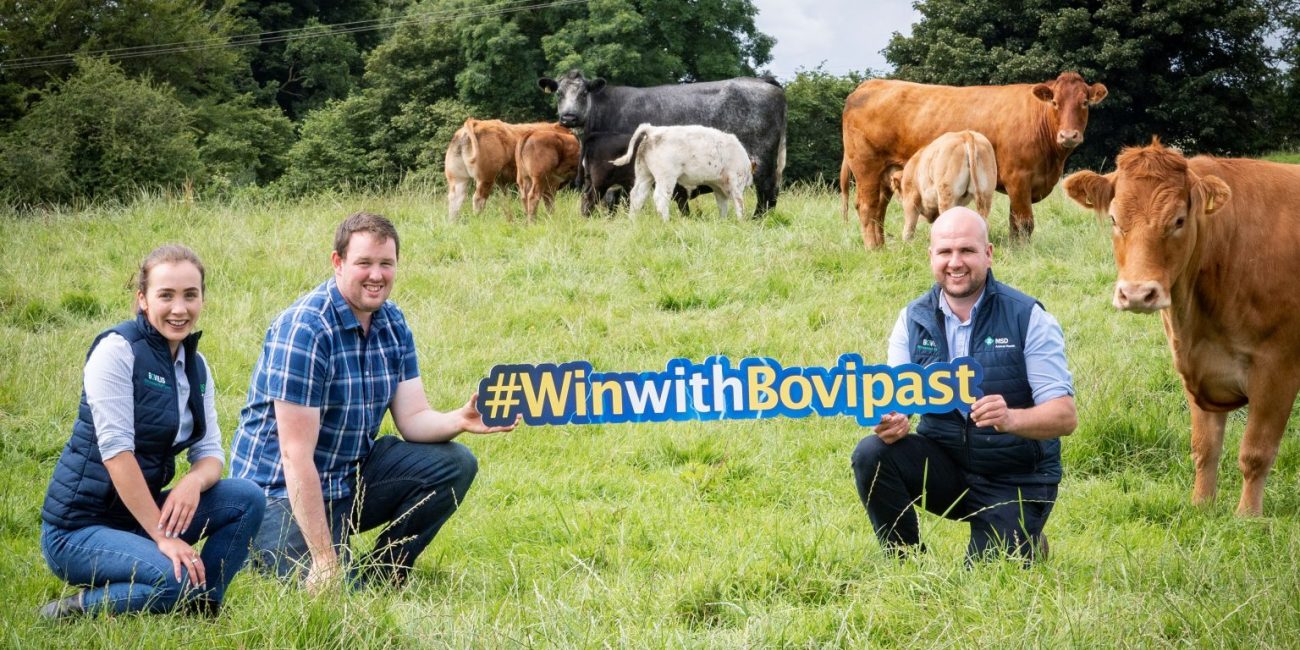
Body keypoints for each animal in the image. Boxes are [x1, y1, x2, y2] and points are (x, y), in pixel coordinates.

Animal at [444, 120, 572, 222]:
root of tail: (476, 123)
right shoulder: (552, 181)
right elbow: (549, 201)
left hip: (458, 178)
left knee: (456, 199)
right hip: (486, 177)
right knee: (478, 198)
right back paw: (478, 220)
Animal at [608, 122, 754, 220]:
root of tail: (653, 130)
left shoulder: (719, 189)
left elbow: (722, 206)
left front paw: (723, 221)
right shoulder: (736, 182)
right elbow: (739, 203)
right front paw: (741, 222)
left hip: (644, 174)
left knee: (637, 196)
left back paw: (633, 221)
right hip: (666, 177)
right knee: (660, 198)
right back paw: (665, 222)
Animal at [842, 72, 1107, 249]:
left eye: (1084, 102)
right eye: (1055, 102)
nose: (1068, 135)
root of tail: (870, 84)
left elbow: (1014, 222)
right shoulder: (1019, 179)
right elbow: (1024, 223)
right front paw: (1021, 251)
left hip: (886, 174)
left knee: (879, 210)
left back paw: (881, 247)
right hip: (866, 168)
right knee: (867, 207)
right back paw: (872, 248)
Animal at [1060, 139, 1300, 514]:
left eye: (1179, 220)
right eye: (1114, 219)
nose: (1137, 293)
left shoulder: (1277, 367)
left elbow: (1255, 452)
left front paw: (1247, 516)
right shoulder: (1194, 365)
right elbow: (1204, 446)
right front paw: (1201, 504)